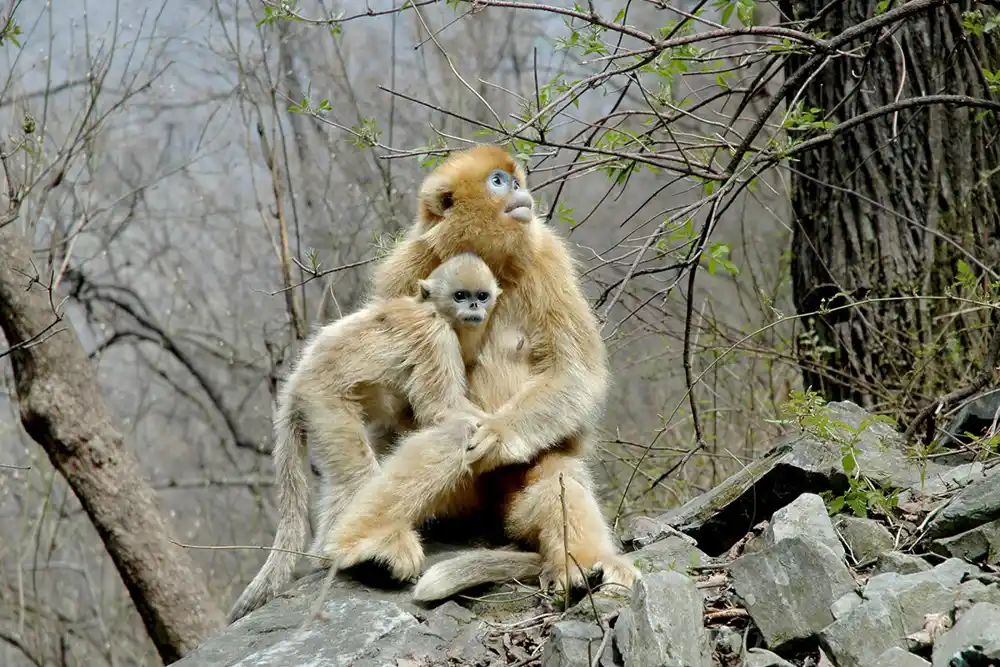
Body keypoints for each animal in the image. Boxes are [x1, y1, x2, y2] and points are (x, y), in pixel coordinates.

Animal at [230, 253, 504, 624]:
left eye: (481, 296)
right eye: (461, 296)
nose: (474, 306)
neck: (432, 309)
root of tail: (294, 384)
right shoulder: (434, 336)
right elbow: (438, 408)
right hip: (324, 403)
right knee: (358, 474)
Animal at [370, 144, 640, 596]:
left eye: (516, 180)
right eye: (498, 182)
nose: (519, 191)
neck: (482, 259)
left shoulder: (546, 256)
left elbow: (573, 372)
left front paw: (497, 435)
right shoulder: (406, 267)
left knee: (554, 469)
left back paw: (583, 564)